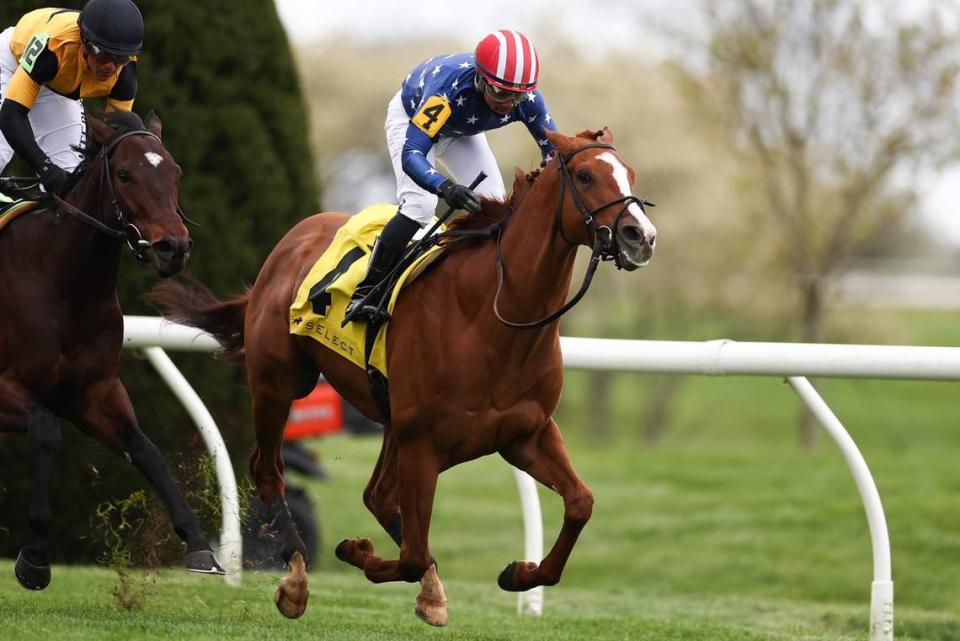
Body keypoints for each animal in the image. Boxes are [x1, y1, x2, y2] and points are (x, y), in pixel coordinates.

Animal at [0, 110, 223, 592]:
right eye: (124, 174)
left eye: (176, 173)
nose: (173, 247)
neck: (63, 284)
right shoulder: (4, 389)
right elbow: (46, 430)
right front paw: (35, 557)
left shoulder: (92, 393)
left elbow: (146, 451)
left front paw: (199, 544)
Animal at [150, 127, 656, 624]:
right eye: (586, 176)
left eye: (630, 173)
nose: (641, 236)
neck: (495, 317)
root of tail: (297, 234)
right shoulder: (423, 444)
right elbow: (411, 553)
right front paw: (357, 552)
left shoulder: (524, 434)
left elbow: (581, 503)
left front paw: (520, 573)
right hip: (280, 383)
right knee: (270, 470)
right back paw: (295, 581)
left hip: (391, 420)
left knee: (378, 496)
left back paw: (428, 590)